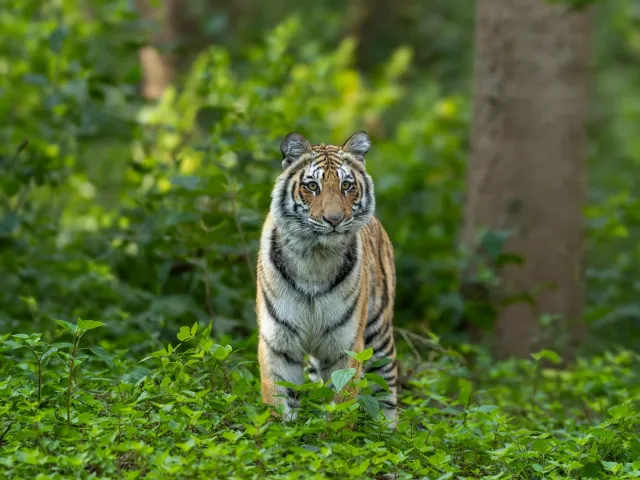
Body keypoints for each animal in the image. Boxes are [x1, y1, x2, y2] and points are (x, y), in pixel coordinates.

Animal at [256, 131, 398, 427]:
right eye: (312, 186)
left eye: (346, 186)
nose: (334, 219)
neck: (314, 258)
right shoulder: (279, 343)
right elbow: (278, 401)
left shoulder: (346, 345)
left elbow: (341, 407)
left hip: (379, 333)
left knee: (386, 391)